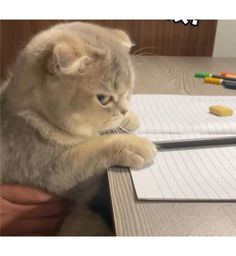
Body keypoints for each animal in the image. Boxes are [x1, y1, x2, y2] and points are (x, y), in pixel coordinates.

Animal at [1, 22, 158, 236]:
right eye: (103, 99)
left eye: (129, 89)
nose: (124, 109)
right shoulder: (51, 171)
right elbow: (94, 148)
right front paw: (132, 144)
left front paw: (129, 118)